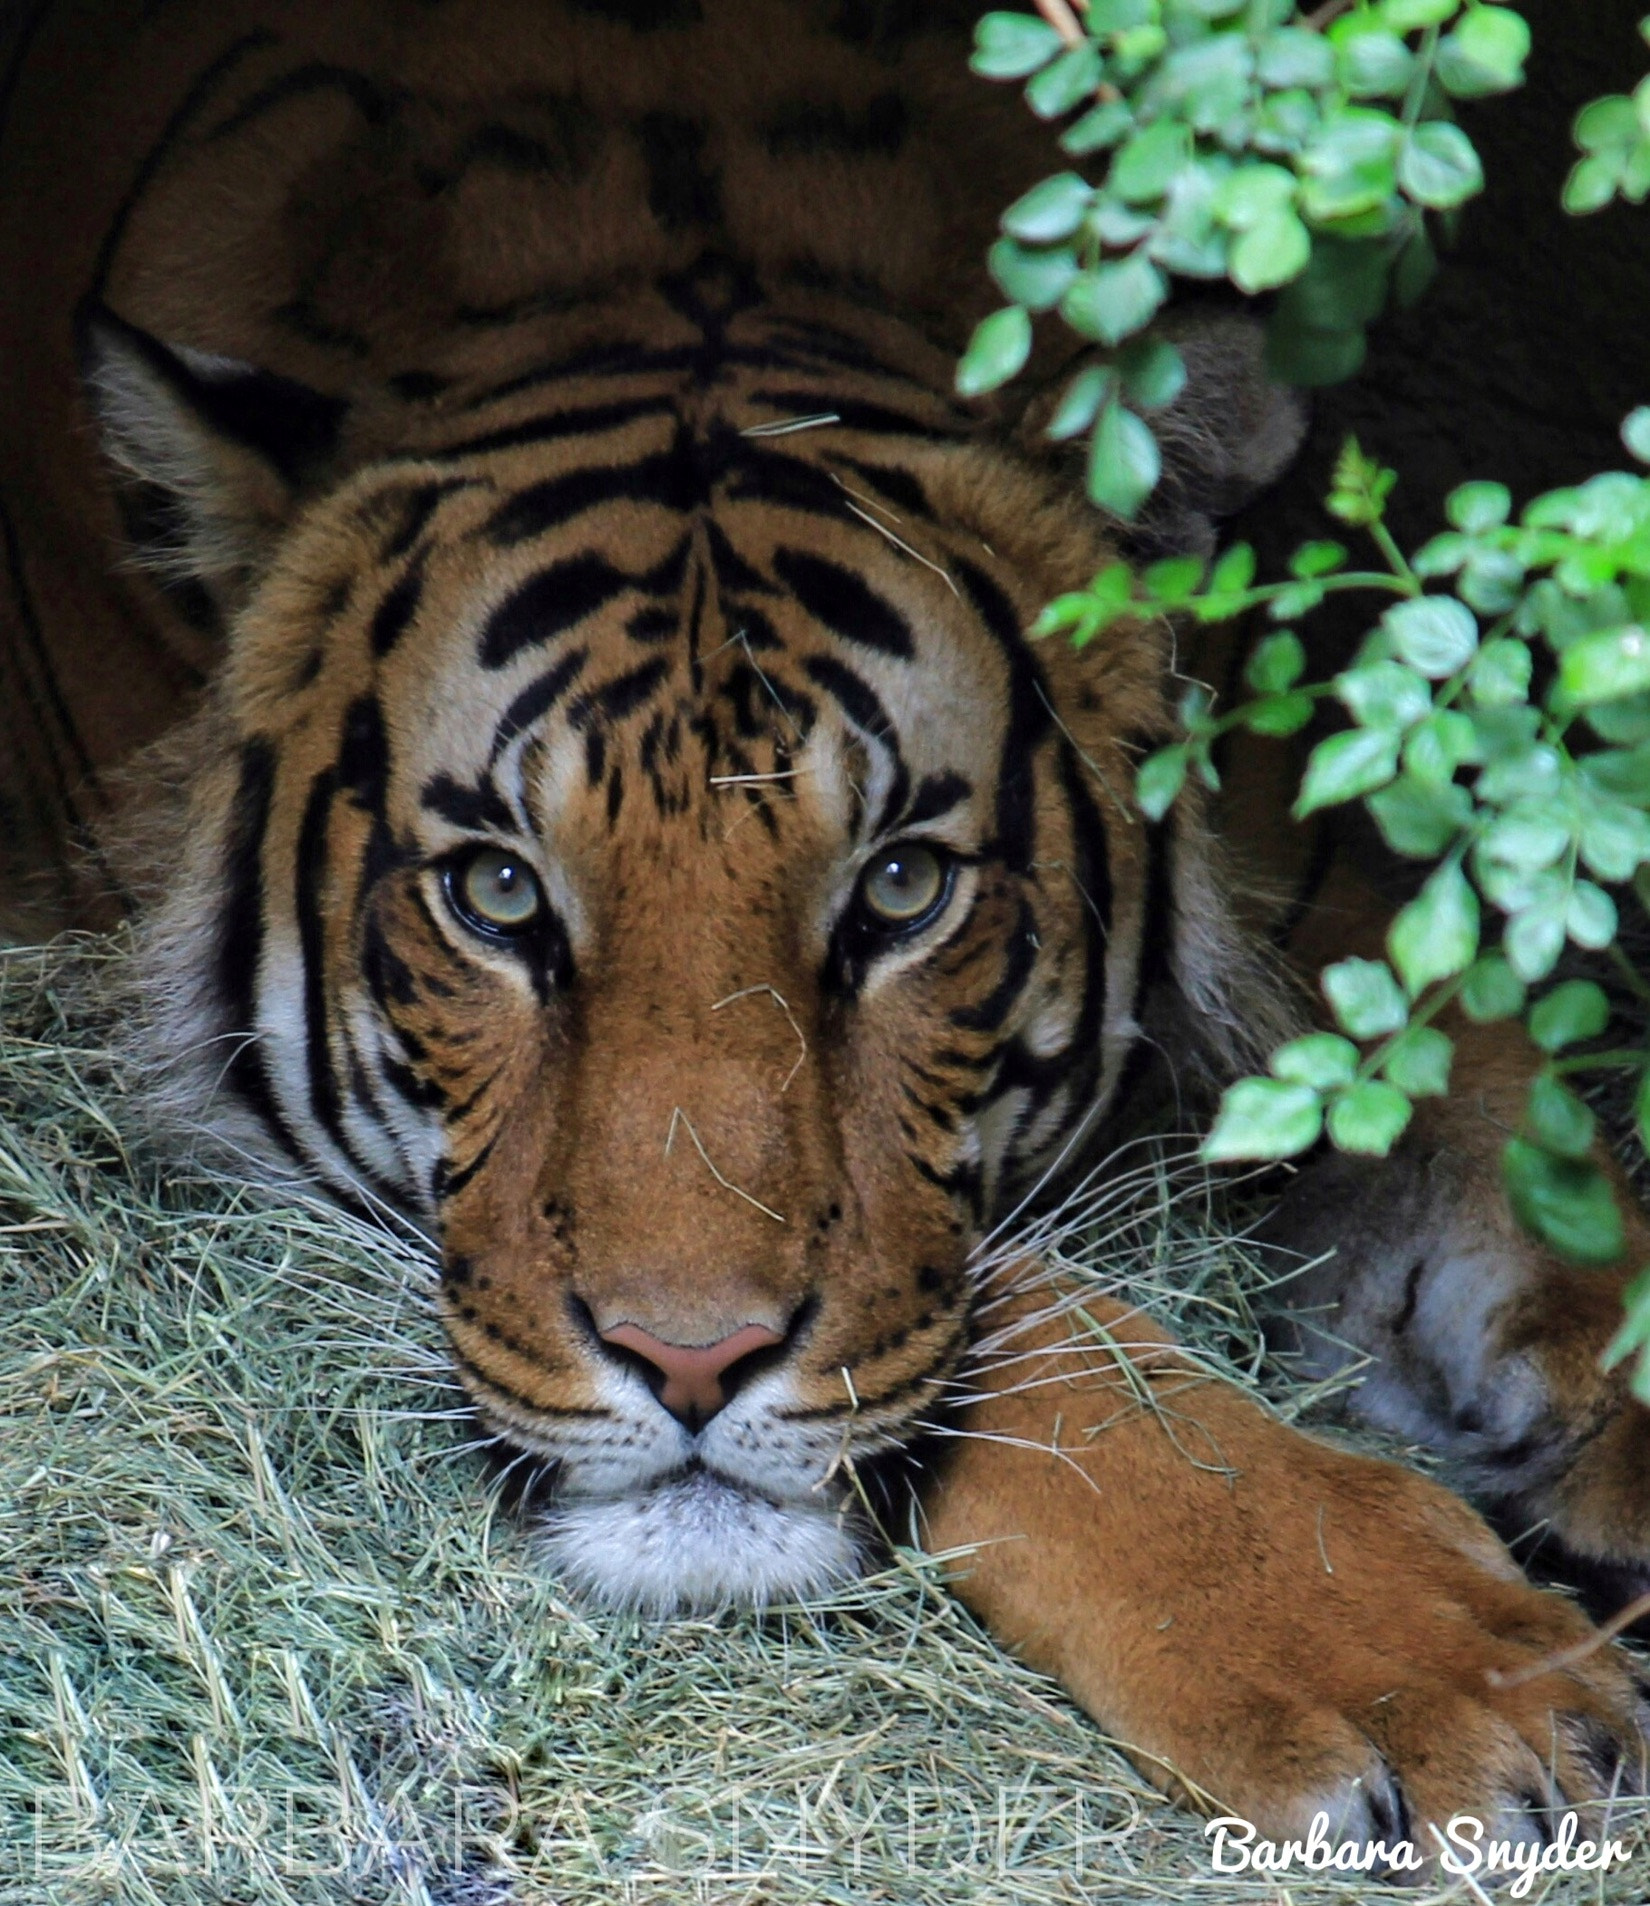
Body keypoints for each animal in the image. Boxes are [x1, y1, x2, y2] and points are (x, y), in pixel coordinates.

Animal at [9, 0, 1646, 1852]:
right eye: (497, 888)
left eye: (902, 885)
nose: (687, 1361)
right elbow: (1038, 1327)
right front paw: (1424, 1657)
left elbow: (1522, 1129)